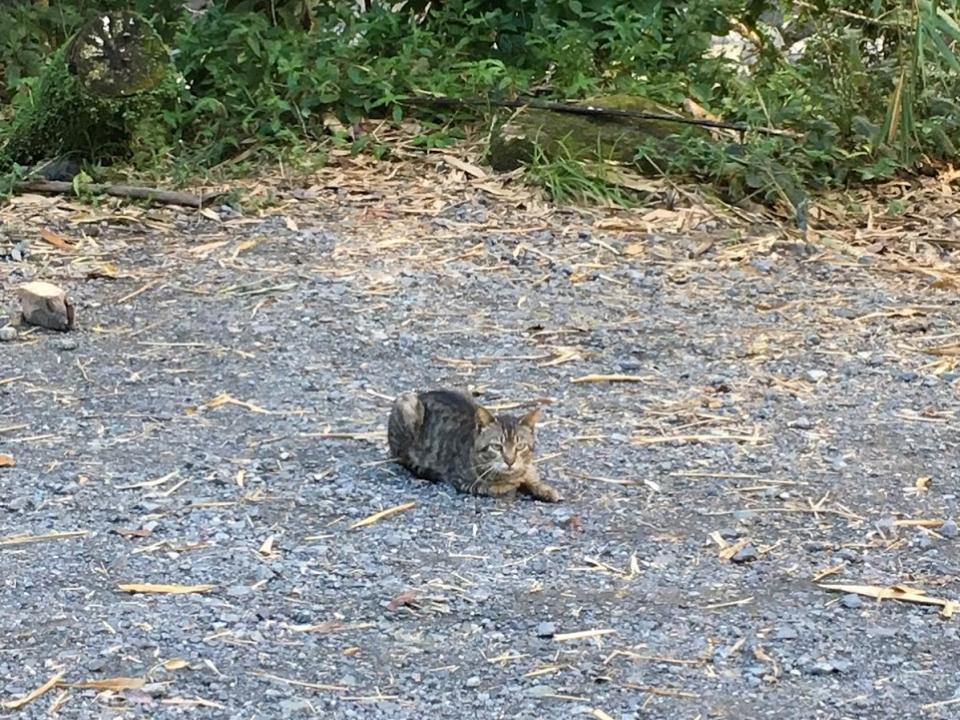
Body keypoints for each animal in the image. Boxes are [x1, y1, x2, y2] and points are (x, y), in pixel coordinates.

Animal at [386, 390, 560, 504]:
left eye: (520, 446)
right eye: (496, 447)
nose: (510, 461)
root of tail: (421, 394)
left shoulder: (527, 467)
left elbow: (531, 476)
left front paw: (545, 489)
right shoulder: (461, 481)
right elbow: (493, 487)